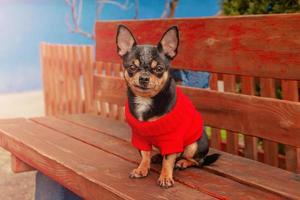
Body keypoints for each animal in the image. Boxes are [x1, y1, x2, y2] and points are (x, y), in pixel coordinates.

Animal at [116, 24, 219, 188]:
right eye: (132, 67)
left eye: (159, 69)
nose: (144, 78)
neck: (146, 99)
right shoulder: (140, 137)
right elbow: (144, 154)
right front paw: (142, 168)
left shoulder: (172, 138)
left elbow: (169, 160)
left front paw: (165, 177)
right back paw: (158, 156)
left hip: (193, 145)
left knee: (197, 161)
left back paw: (183, 162)